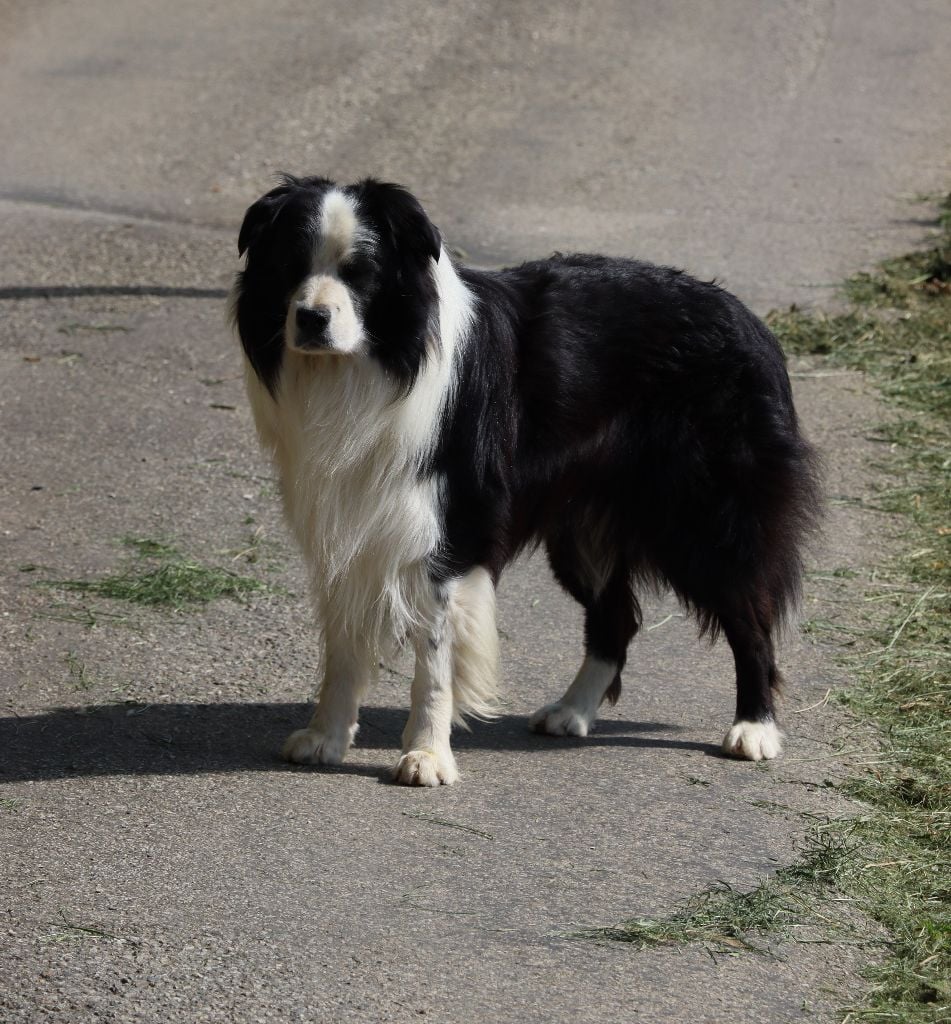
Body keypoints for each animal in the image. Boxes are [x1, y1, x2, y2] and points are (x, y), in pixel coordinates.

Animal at [231, 175, 820, 786]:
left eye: (361, 271)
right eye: (289, 264)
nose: (310, 318)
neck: (371, 364)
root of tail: (751, 322)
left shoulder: (450, 532)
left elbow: (434, 663)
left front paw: (426, 757)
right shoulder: (347, 516)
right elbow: (342, 646)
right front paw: (325, 738)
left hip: (706, 518)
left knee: (750, 616)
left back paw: (754, 729)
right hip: (584, 530)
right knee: (616, 618)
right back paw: (571, 712)